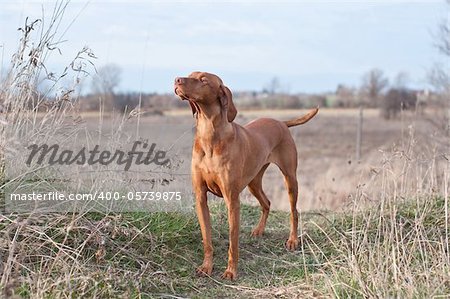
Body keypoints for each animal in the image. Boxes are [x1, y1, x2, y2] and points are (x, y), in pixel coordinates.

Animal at [174, 71, 318, 280]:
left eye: (203, 80)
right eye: (190, 74)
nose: (177, 80)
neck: (210, 135)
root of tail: (281, 123)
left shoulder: (232, 201)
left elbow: (233, 241)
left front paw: (231, 271)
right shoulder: (200, 198)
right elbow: (206, 239)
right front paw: (206, 266)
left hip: (290, 178)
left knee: (294, 211)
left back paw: (292, 240)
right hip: (254, 182)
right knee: (267, 203)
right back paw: (259, 230)